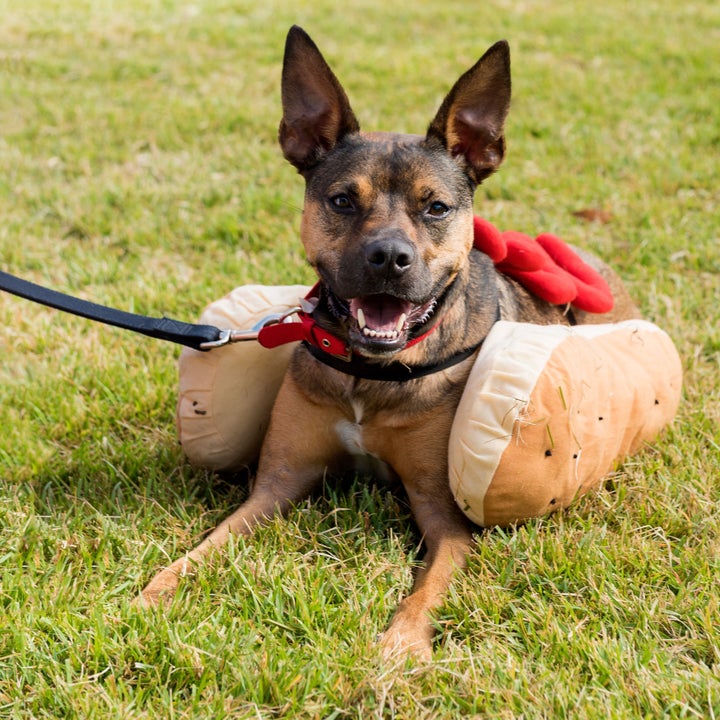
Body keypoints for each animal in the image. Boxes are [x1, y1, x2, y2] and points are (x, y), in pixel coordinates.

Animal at [138, 26, 640, 660]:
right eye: (342, 201)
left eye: (436, 207)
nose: (388, 258)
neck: (369, 372)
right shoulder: (276, 485)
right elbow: (210, 543)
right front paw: (156, 590)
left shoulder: (445, 516)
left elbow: (428, 590)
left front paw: (399, 647)